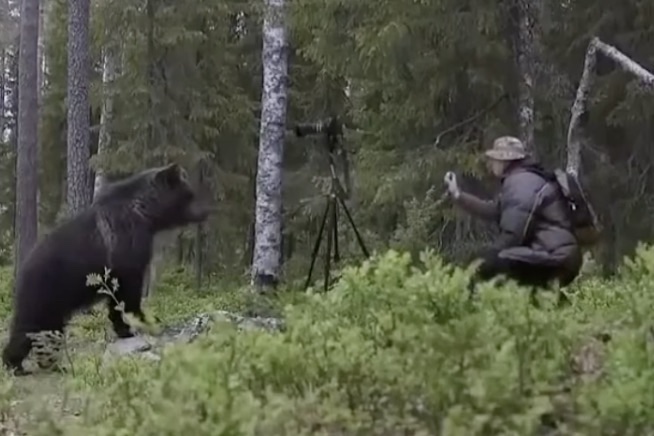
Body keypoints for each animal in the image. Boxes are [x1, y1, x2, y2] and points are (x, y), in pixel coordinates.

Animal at [2, 163, 211, 375]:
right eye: (189, 194)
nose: (206, 211)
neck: (145, 214)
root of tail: (23, 268)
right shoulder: (126, 243)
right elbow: (128, 291)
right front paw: (137, 323)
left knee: (47, 331)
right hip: (45, 293)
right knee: (31, 325)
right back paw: (16, 364)